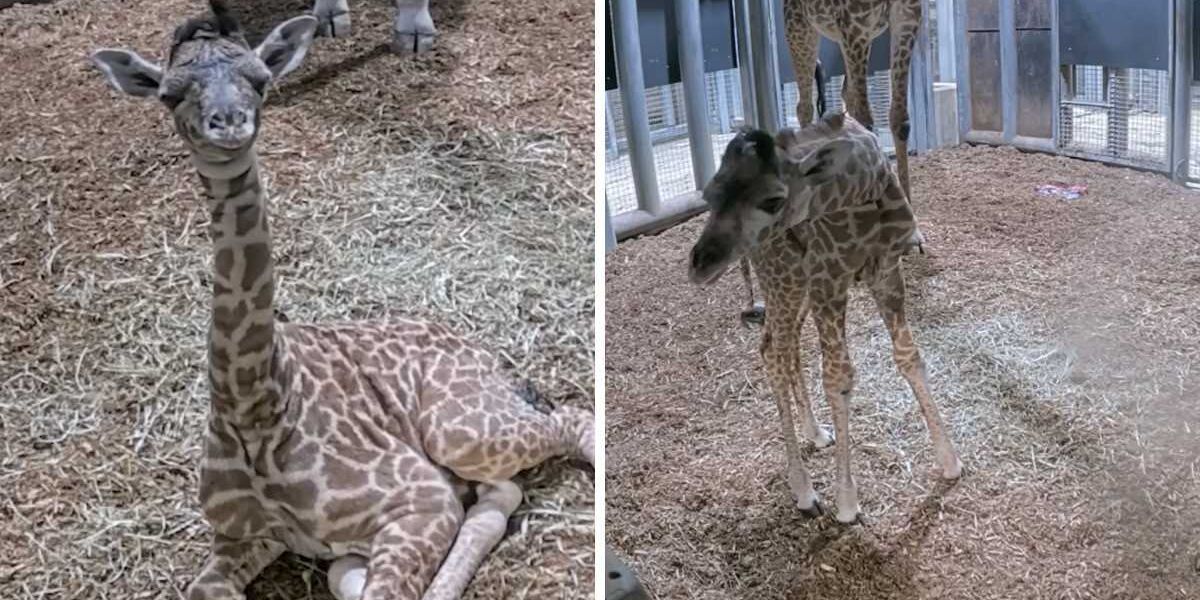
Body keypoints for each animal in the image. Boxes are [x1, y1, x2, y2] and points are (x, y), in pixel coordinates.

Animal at [89, 3, 594, 599]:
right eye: (169, 95)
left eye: (261, 81)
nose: (230, 124)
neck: (254, 410)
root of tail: (485, 356)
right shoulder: (243, 535)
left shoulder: (420, 499)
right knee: (497, 492)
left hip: (460, 430)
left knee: (570, 423)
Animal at [687, 111, 960, 523]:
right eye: (708, 196)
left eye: (773, 199)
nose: (700, 264)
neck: (865, 188)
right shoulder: (829, 279)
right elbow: (839, 379)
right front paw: (846, 503)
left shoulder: (885, 272)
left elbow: (909, 357)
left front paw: (950, 462)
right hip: (783, 276)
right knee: (774, 351)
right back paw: (804, 490)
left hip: (797, 283)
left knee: (782, 348)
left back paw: (815, 433)